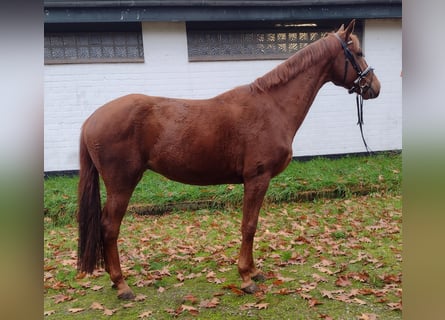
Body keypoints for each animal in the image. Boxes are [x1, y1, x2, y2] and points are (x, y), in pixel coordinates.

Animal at [76, 20, 378, 300]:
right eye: (358, 52)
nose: (374, 87)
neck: (273, 106)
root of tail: (91, 119)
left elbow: (251, 226)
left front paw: (254, 271)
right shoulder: (257, 179)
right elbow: (249, 226)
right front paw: (246, 278)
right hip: (122, 184)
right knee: (109, 227)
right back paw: (122, 285)